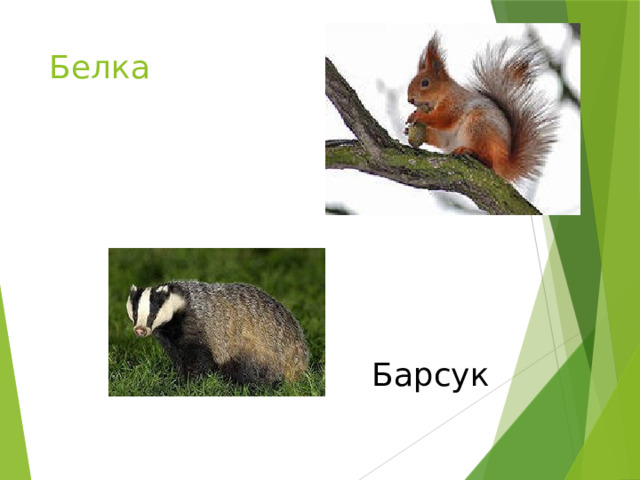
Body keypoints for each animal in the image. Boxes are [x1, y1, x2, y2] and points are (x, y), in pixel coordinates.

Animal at [405, 33, 557, 181]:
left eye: (425, 83)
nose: (410, 99)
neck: (442, 94)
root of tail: (504, 162)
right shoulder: (444, 136)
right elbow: (440, 138)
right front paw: (409, 130)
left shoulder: (455, 103)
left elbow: (444, 118)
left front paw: (417, 116)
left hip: (479, 126)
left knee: (488, 161)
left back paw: (470, 151)